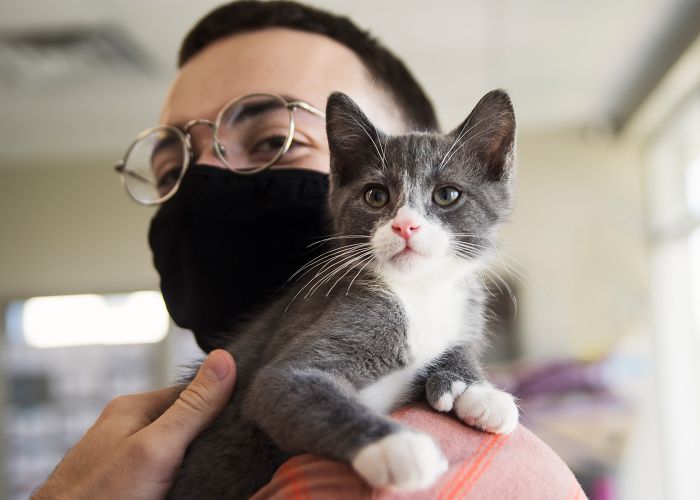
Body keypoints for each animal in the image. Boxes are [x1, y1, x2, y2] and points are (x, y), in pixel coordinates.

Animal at [168, 89, 520, 496]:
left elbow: (459, 346)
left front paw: (475, 390)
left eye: (447, 195)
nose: (406, 226)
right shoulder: (298, 356)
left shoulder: (466, 306)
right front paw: (397, 447)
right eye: (376, 196)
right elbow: (294, 387)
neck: (417, 292)